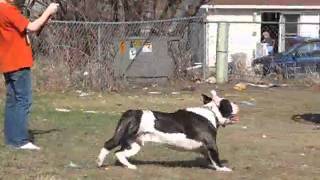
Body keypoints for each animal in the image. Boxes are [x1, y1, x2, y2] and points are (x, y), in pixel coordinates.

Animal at [97, 90, 240, 172]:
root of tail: (131, 113)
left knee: (119, 153)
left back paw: (130, 166)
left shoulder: (204, 148)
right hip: (123, 136)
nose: (237, 103)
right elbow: (216, 157)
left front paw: (212, 166)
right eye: (229, 103)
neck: (211, 112)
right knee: (108, 144)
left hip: (134, 145)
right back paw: (99, 162)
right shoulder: (211, 143)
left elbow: (209, 157)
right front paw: (222, 168)